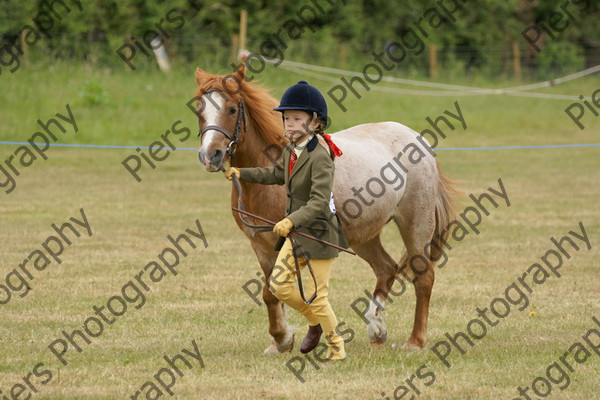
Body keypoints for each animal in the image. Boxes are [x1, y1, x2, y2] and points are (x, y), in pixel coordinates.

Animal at [193, 64, 454, 354]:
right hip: (364, 235)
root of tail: (417, 139)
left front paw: (284, 338)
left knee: (423, 277)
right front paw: (280, 341)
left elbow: (278, 290)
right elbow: (270, 293)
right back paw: (376, 330)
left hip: (415, 225)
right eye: (199, 110)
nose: (210, 156)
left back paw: (415, 342)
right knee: (386, 268)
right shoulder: (261, 246)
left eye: (231, 109)